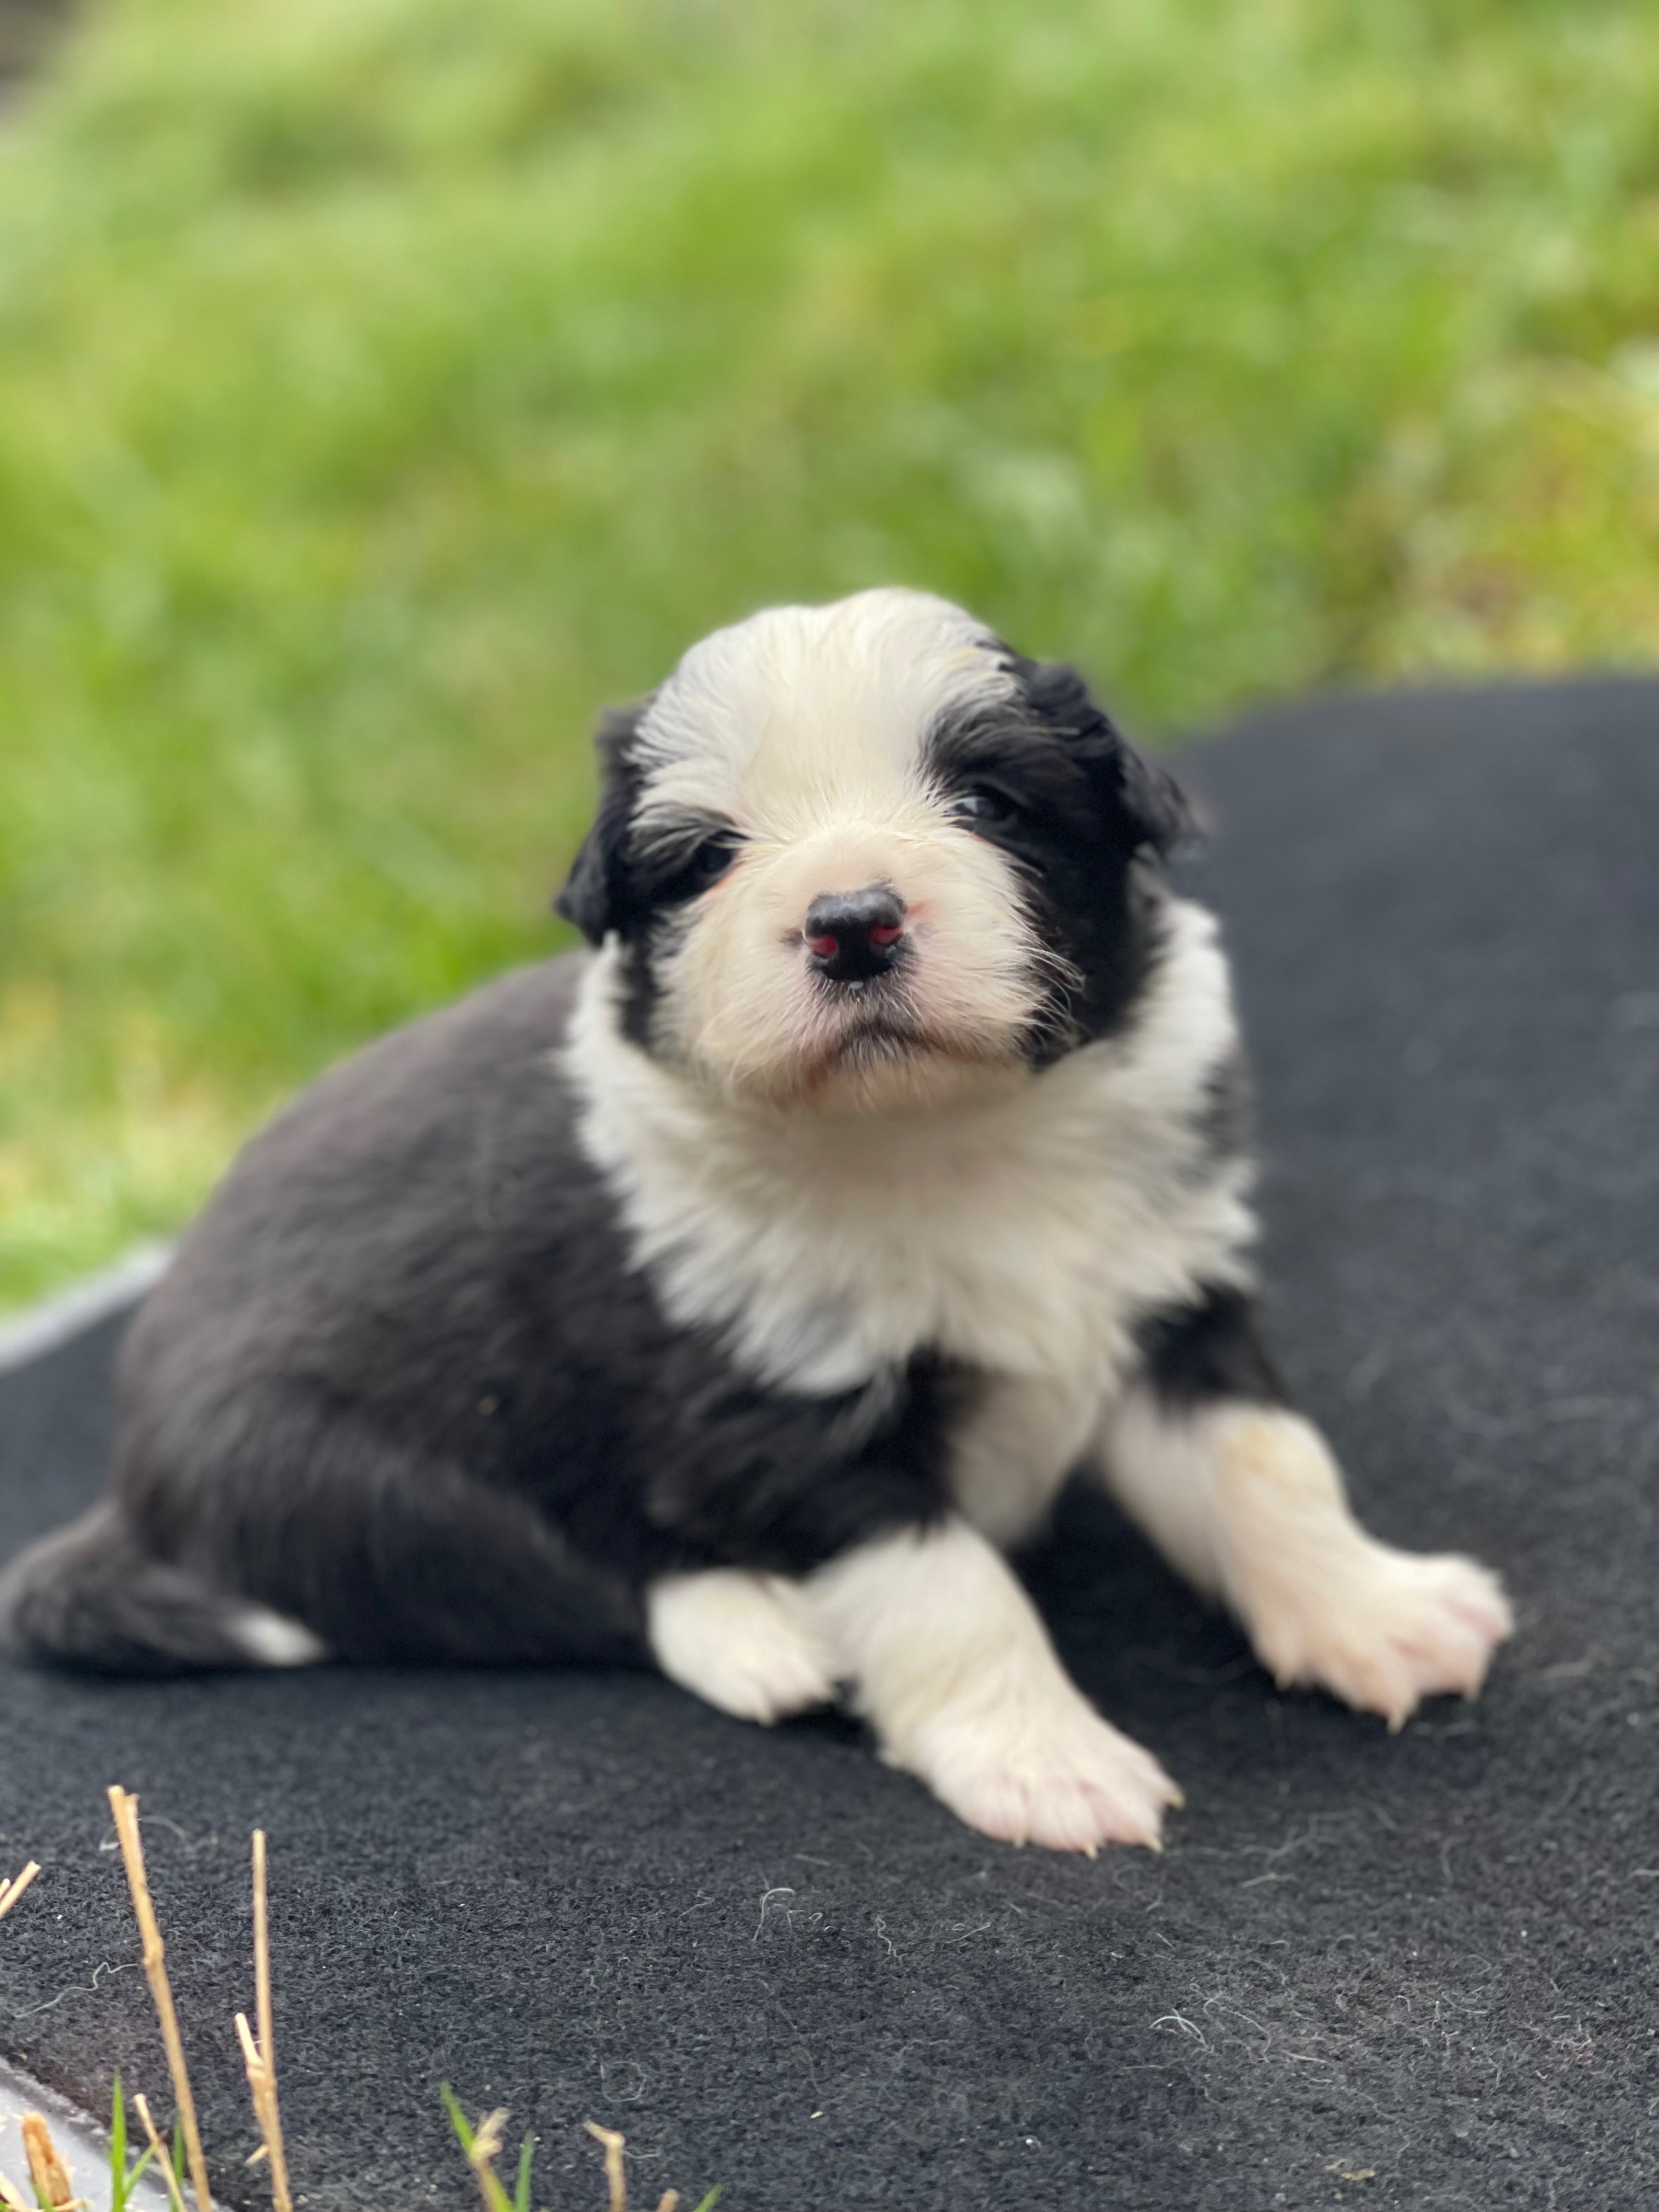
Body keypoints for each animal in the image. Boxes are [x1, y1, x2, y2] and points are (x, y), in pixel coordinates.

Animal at [0, 588, 1513, 1849]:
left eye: (989, 800)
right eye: (709, 860)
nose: (851, 923)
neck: (944, 1136)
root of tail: (132, 1472)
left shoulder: (1164, 1295)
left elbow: (1266, 1463)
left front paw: (1376, 1615)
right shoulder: (778, 1419)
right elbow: (950, 1592)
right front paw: (1045, 1763)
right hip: (351, 1484)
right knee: (576, 1584)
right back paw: (764, 1635)